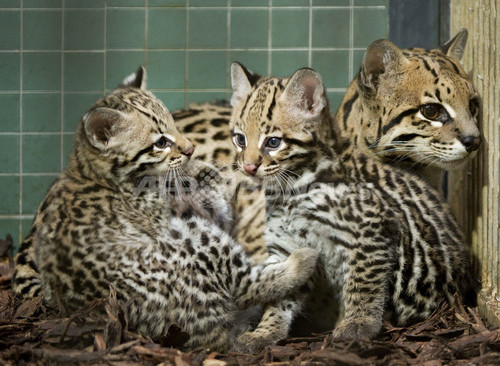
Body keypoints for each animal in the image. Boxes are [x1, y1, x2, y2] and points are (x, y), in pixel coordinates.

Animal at [12, 67, 320, 350]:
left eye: (173, 126)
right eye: (161, 141)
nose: (191, 150)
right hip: (198, 242)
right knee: (244, 283)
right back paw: (301, 259)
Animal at [227, 63, 472, 352]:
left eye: (273, 142)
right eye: (240, 139)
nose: (248, 167)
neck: (288, 192)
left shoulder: (370, 232)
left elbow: (363, 283)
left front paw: (358, 324)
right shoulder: (288, 246)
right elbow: (282, 288)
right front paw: (266, 331)